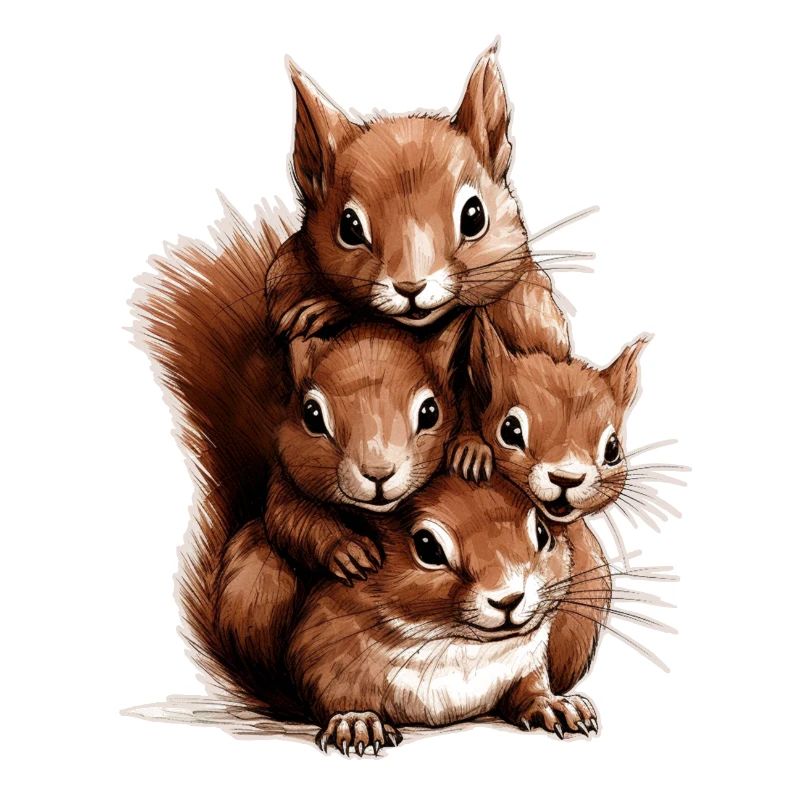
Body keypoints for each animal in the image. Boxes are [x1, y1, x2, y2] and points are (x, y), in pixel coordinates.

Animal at [265, 43, 570, 362]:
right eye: (349, 228)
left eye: (474, 216)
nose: (411, 287)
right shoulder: (284, 272)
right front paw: (322, 308)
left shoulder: (537, 309)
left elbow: (540, 337)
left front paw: (325, 309)